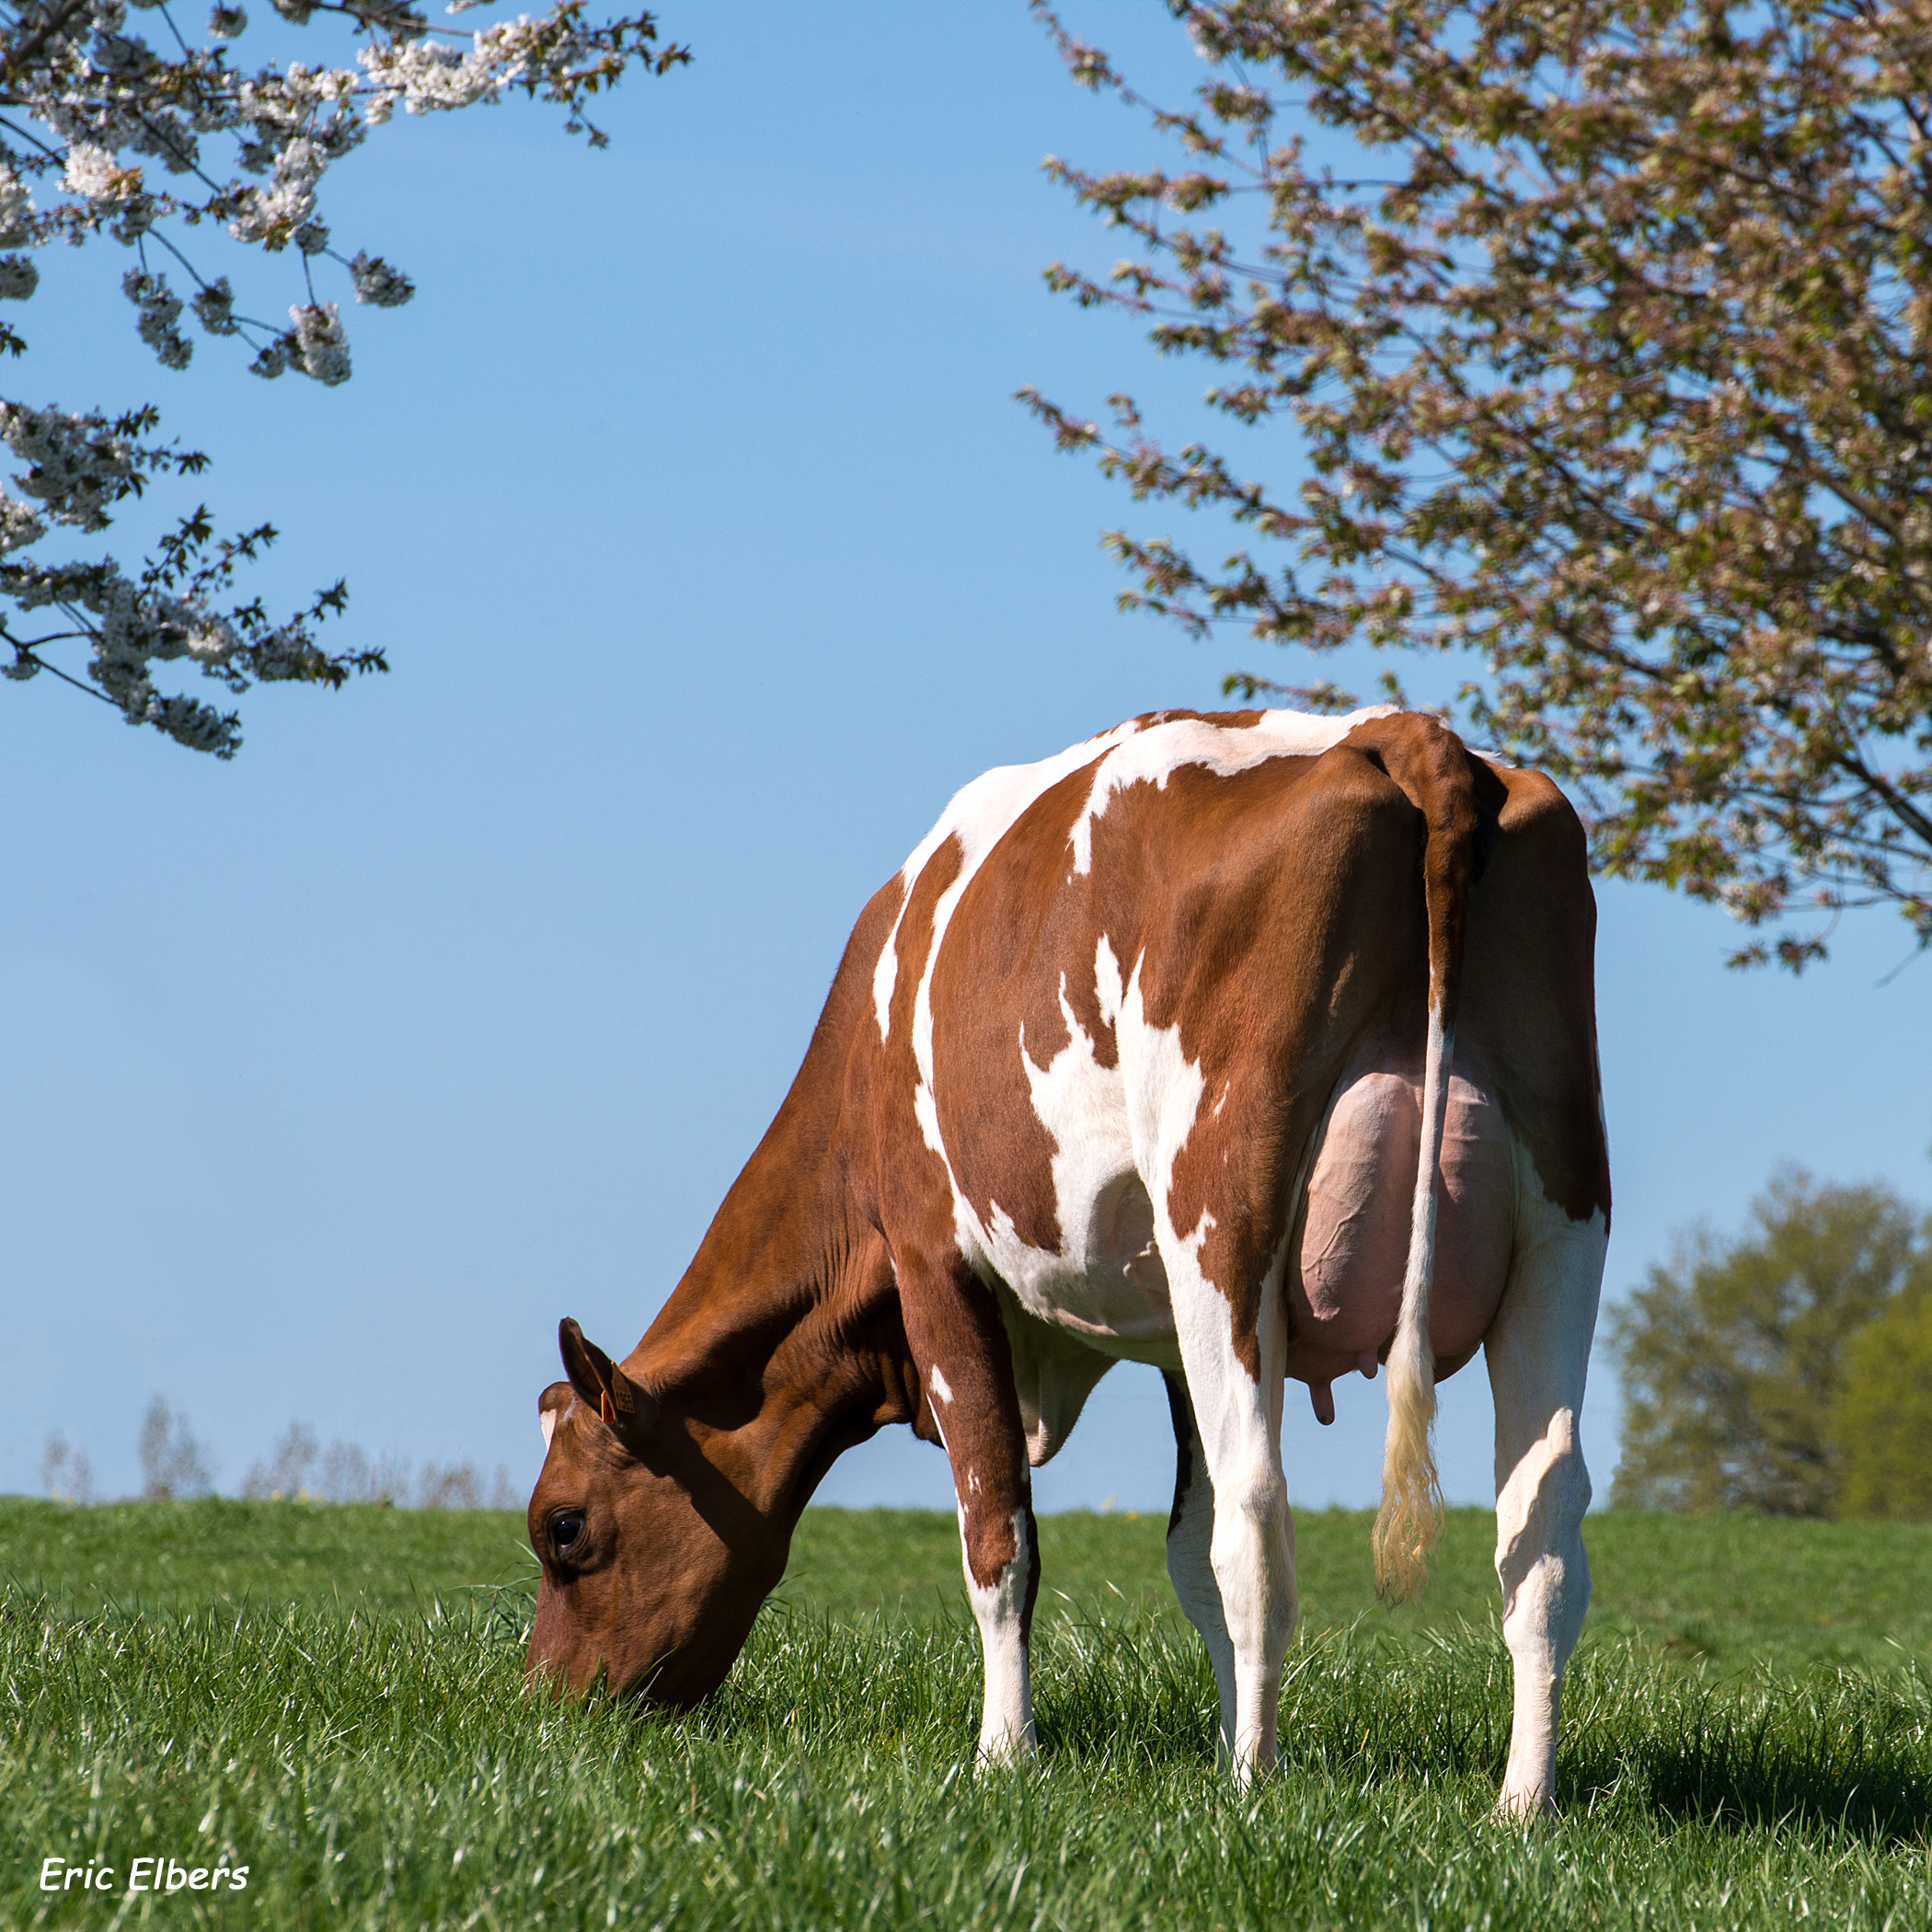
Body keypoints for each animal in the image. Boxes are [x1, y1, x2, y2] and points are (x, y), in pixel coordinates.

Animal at [522, 707, 1607, 1808]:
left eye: (563, 1527)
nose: (548, 1705)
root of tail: (1403, 732)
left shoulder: (935, 1261)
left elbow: (1000, 1536)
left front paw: (1007, 1753)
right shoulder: (1166, 1335)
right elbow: (1184, 1557)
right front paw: (1220, 1732)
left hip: (1224, 1226)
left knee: (1258, 1509)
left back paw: (1254, 1791)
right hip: (1564, 1222)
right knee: (1543, 1520)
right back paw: (1523, 1801)